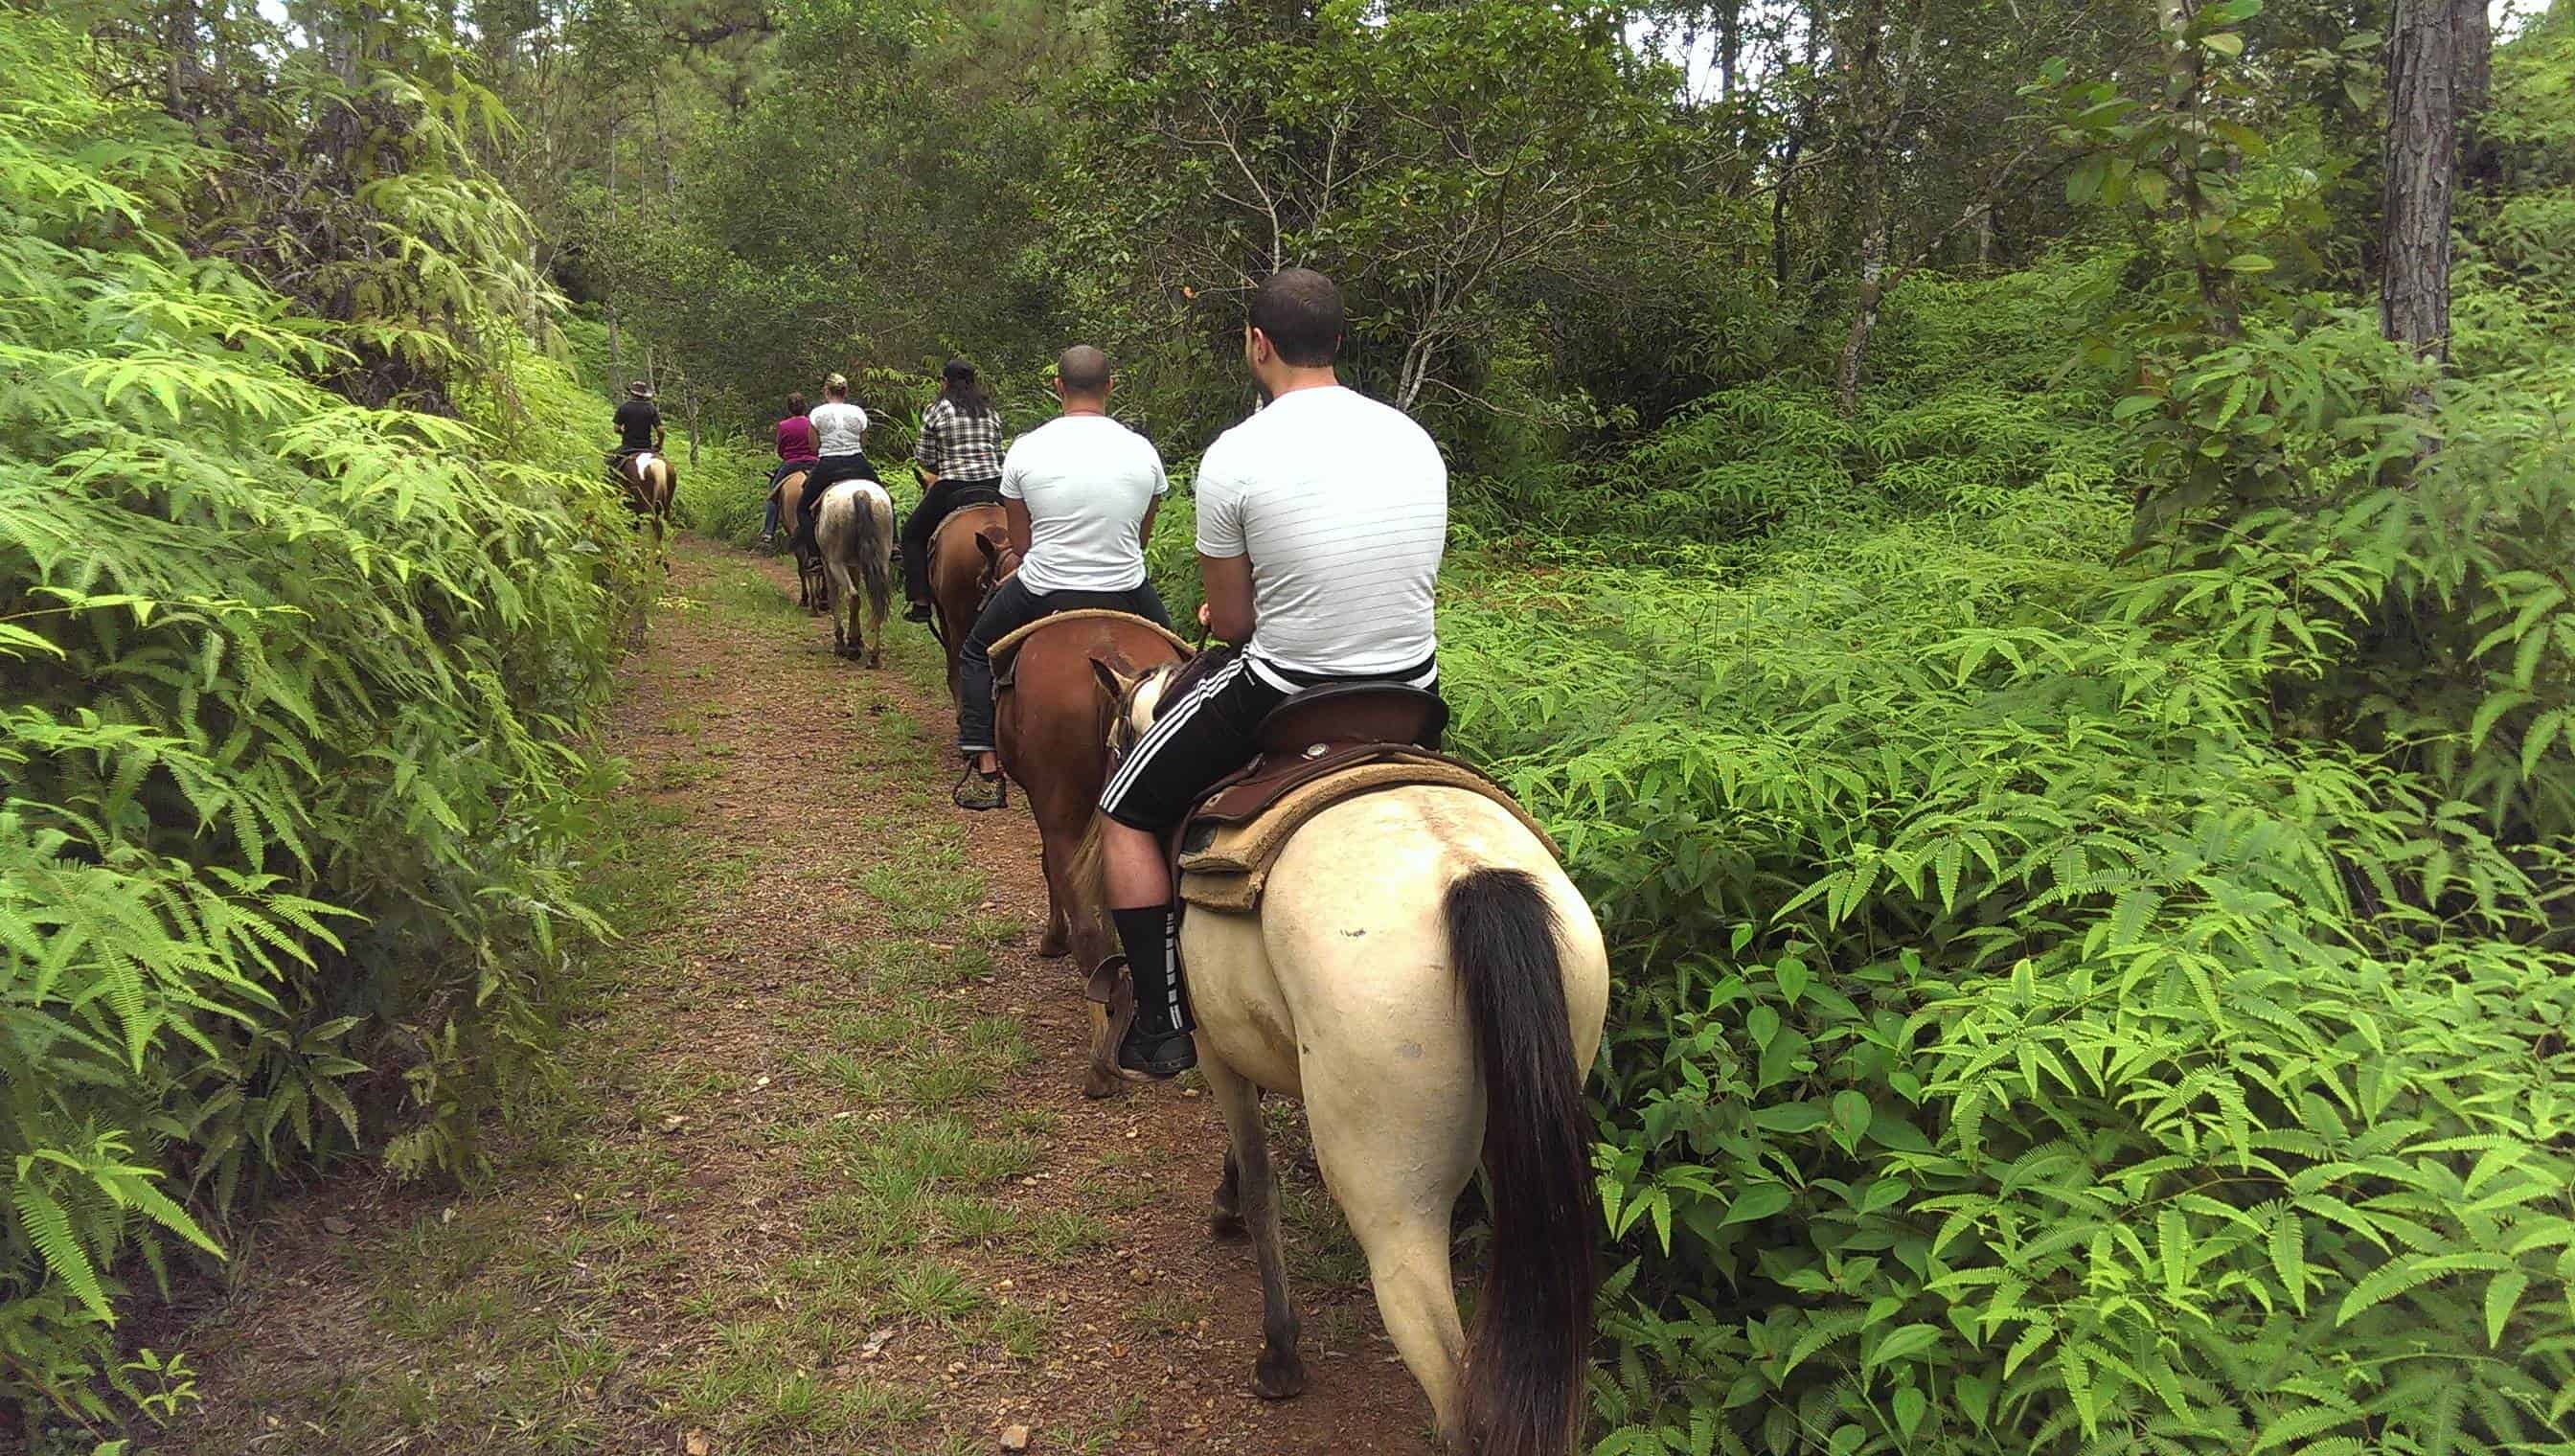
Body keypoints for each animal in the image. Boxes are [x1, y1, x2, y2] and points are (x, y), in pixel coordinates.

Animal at [824, 476, 906, 665]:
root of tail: (861, 493)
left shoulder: (828, 563)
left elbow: (833, 596)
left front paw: (844, 641)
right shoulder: (856, 564)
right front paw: (857, 639)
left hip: (835, 563)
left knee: (853, 596)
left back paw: (849, 648)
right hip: (882, 560)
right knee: (877, 601)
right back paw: (874, 655)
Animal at [1071, 665, 1596, 1453]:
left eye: (1111, 745)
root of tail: (1469, 876)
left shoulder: (1218, 1050)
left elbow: (1262, 1180)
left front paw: (1279, 1351)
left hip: (1393, 1205)